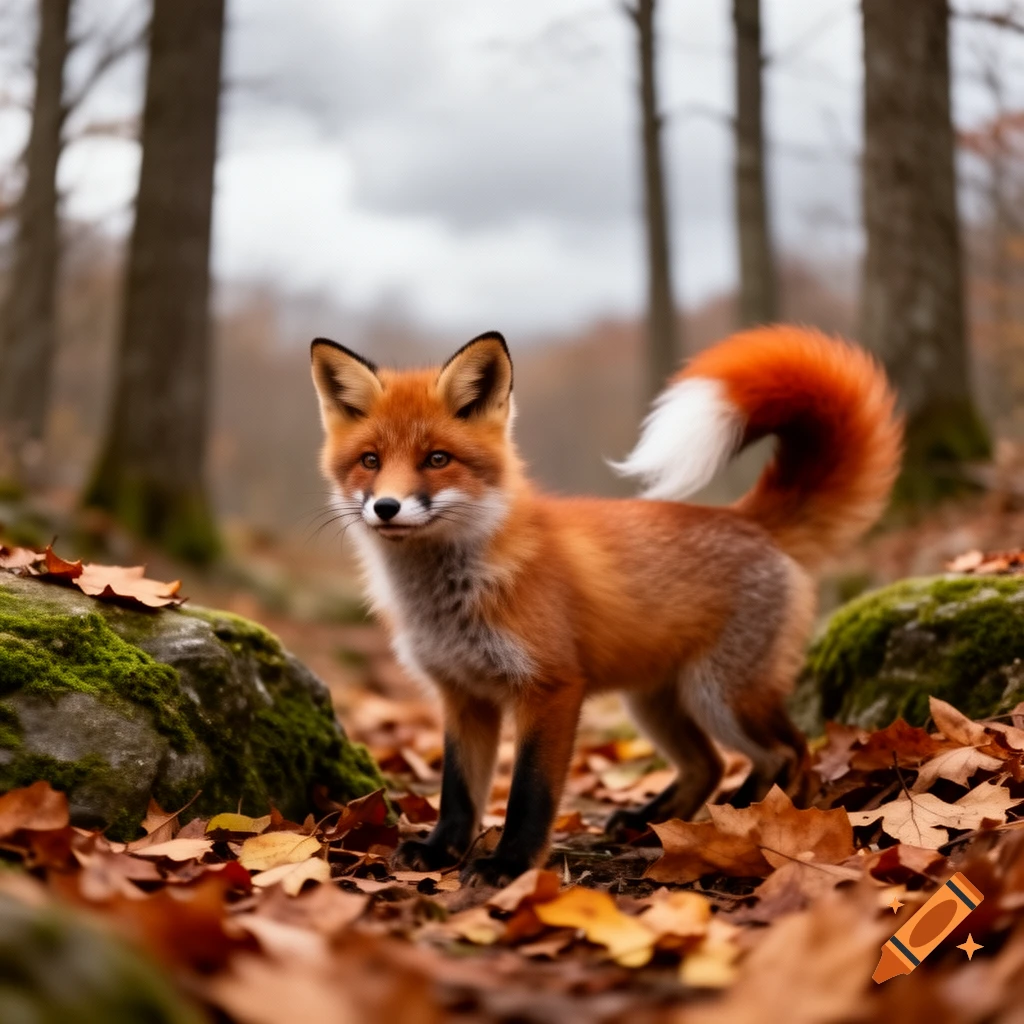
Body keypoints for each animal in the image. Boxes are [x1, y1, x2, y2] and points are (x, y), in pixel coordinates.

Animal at [309, 324, 902, 886]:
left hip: (722, 695)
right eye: (370, 461)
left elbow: (530, 792)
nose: (387, 507)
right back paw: (660, 822)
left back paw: (744, 822)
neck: (450, 598)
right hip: (655, 701)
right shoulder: (461, 694)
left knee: (790, 753)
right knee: (708, 764)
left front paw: (510, 864)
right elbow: (457, 790)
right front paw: (439, 851)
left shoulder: (551, 687)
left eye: (437, 459)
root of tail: (748, 518)